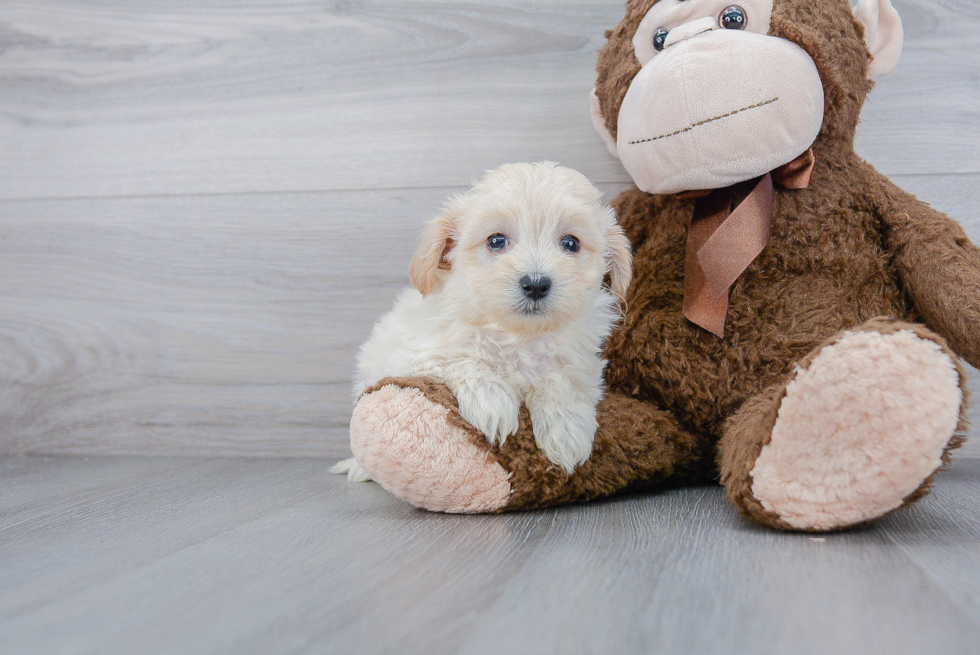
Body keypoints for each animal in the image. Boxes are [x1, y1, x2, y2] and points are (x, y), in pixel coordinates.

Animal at [334, 163, 632, 480]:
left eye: (570, 243)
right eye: (496, 241)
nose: (535, 284)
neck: (517, 336)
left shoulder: (582, 366)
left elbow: (559, 378)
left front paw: (565, 427)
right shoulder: (411, 354)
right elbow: (461, 358)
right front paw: (492, 401)